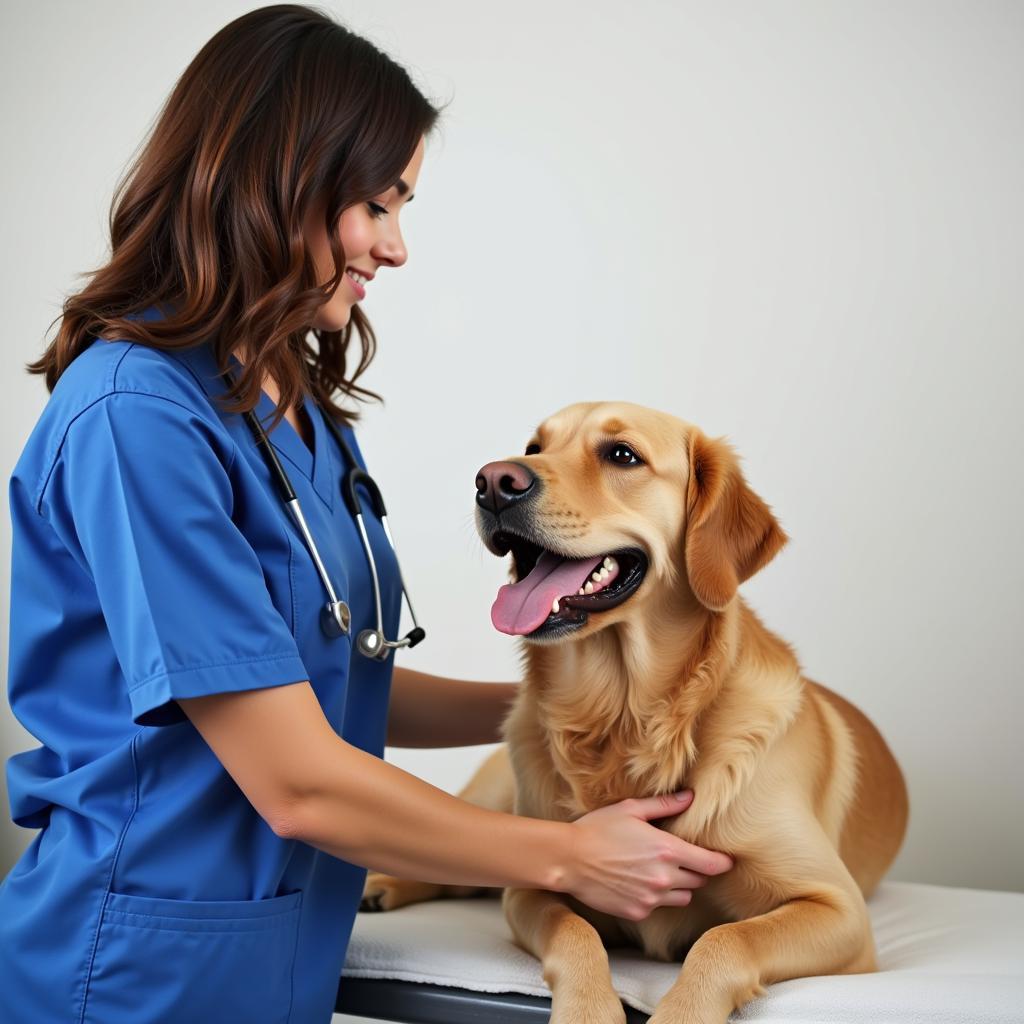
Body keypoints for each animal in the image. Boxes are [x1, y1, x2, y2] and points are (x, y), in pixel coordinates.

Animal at [364, 401, 909, 1024]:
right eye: (533, 448)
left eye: (622, 455)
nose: (493, 481)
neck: (626, 715)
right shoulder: (534, 887)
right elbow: (574, 933)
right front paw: (588, 1010)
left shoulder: (838, 908)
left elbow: (724, 939)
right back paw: (381, 884)